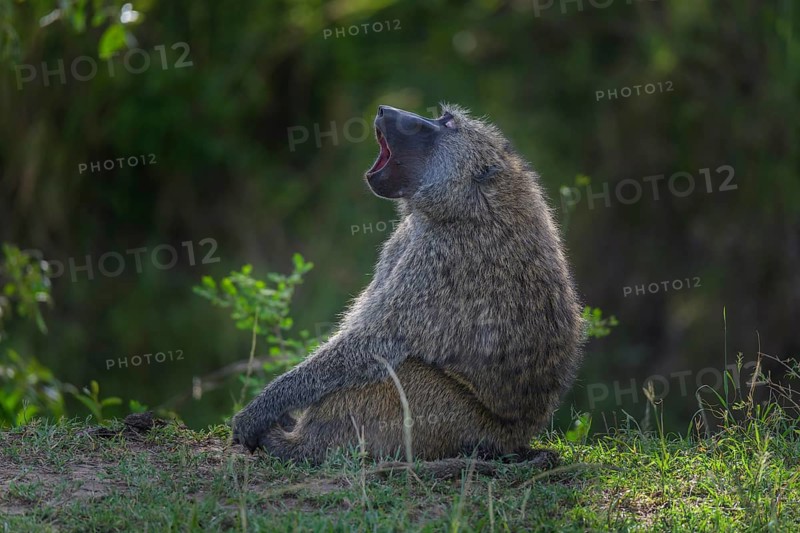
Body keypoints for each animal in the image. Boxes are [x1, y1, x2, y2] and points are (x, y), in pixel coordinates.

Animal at [232, 103, 584, 470]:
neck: (467, 199)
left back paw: (295, 446)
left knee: (397, 369)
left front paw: (264, 408)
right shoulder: (408, 235)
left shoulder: (442, 257)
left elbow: (371, 344)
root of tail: (513, 439)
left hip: (455, 419)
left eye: (448, 125)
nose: (385, 110)